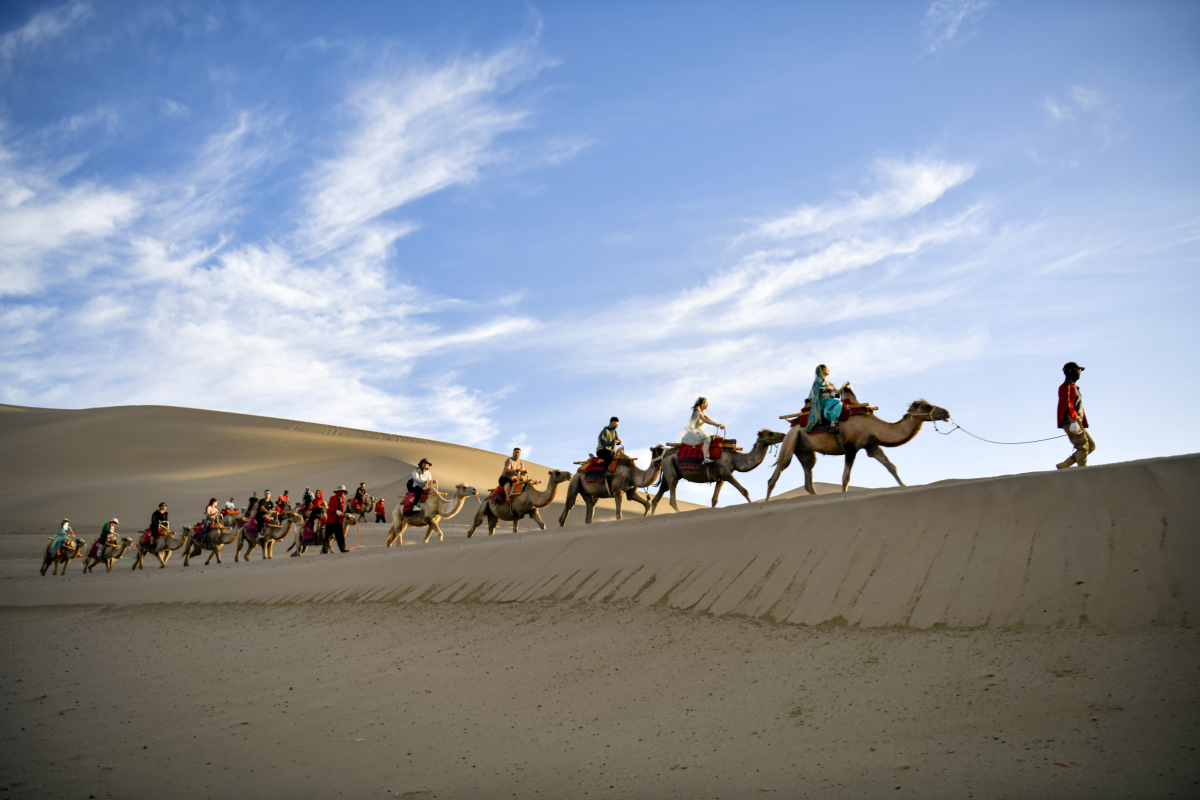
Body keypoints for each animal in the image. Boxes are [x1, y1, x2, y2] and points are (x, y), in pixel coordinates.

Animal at [652, 431, 782, 513]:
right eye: (770, 433)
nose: (783, 435)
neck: (734, 457)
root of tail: (664, 457)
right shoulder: (726, 472)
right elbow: (744, 490)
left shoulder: (721, 478)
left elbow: (714, 499)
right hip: (670, 471)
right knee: (672, 499)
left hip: (667, 474)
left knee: (657, 498)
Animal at [763, 398, 950, 496]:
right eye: (927, 406)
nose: (946, 412)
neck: (873, 426)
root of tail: (792, 426)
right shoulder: (850, 447)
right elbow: (845, 477)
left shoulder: (871, 446)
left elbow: (891, 467)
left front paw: (904, 486)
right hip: (790, 442)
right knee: (776, 474)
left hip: (804, 451)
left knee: (808, 479)